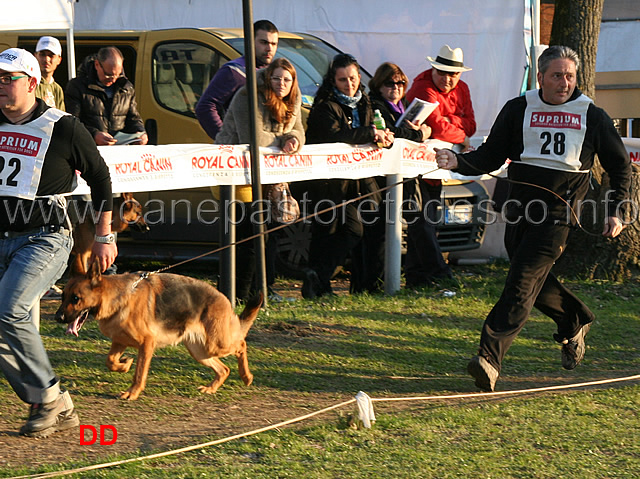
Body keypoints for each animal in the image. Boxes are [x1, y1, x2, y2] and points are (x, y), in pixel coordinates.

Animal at [55, 258, 262, 402]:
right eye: (63, 296)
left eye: (76, 298)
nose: (58, 318)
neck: (118, 297)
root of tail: (225, 300)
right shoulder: (119, 341)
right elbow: (110, 361)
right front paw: (124, 364)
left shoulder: (147, 344)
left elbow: (139, 373)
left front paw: (132, 392)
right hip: (199, 351)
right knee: (224, 369)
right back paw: (211, 388)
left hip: (216, 344)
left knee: (241, 344)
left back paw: (247, 376)